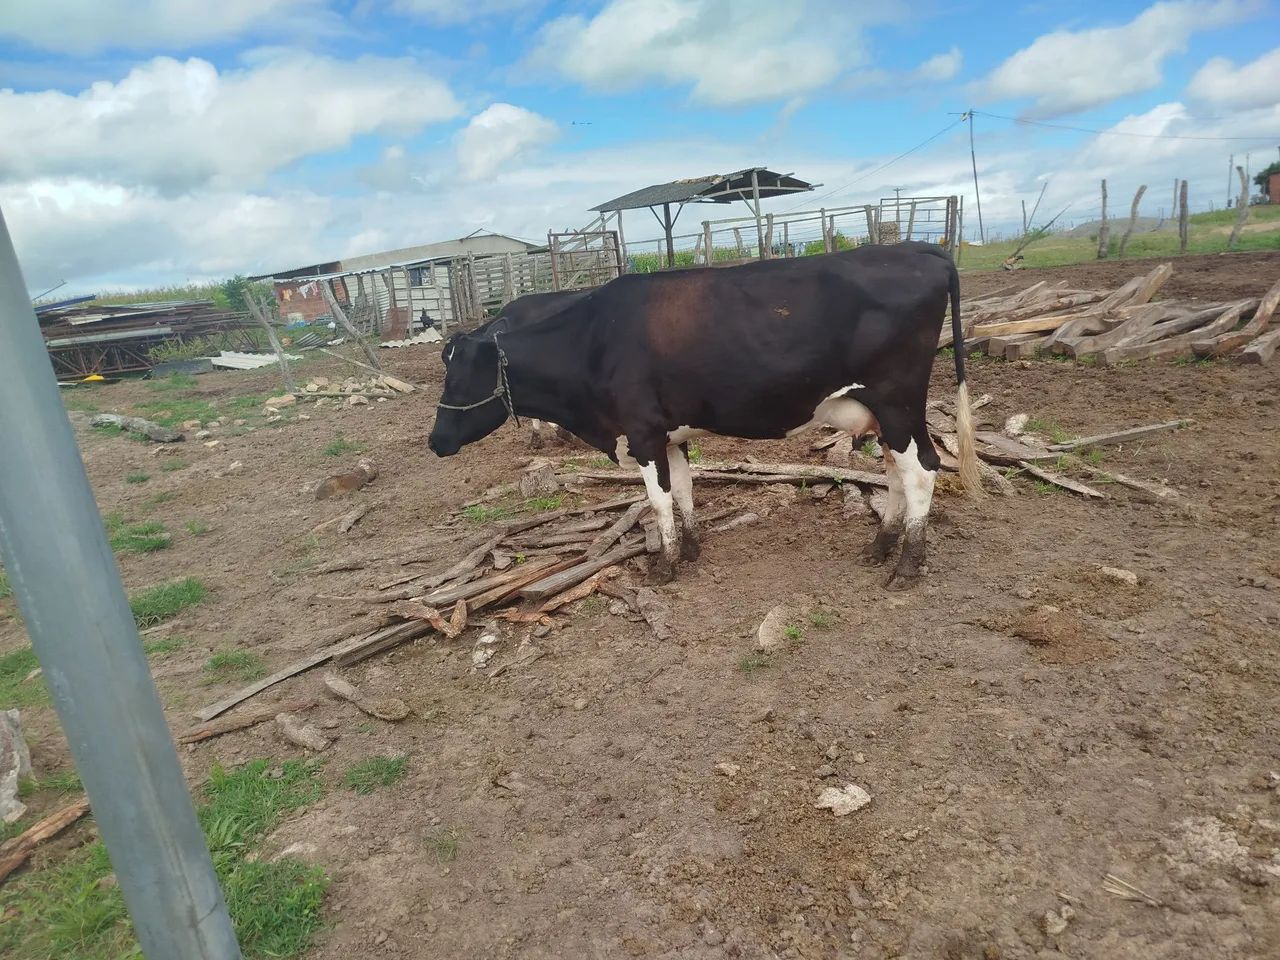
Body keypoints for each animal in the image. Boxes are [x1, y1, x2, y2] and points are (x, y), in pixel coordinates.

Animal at [429, 242, 982, 589]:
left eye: (457, 380)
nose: (435, 441)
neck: (591, 341)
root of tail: (920, 248)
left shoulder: (642, 433)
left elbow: (658, 499)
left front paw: (665, 566)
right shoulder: (670, 433)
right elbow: (685, 489)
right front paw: (691, 549)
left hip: (897, 401)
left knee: (921, 470)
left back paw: (907, 566)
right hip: (885, 413)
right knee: (896, 472)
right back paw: (879, 546)